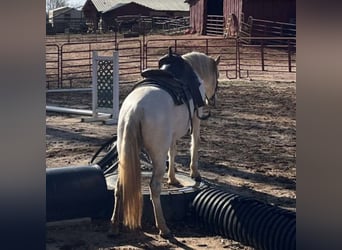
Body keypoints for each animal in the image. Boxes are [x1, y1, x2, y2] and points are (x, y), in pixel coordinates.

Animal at [110, 49, 222, 237]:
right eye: (217, 76)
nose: (213, 99)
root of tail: (134, 110)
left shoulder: (172, 136)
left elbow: (173, 151)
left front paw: (173, 178)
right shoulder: (196, 118)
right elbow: (195, 143)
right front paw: (194, 173)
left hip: (124, 152)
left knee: (119, 186)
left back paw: (114, 225)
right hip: (157, 155)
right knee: (154, 187)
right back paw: (163, 227)